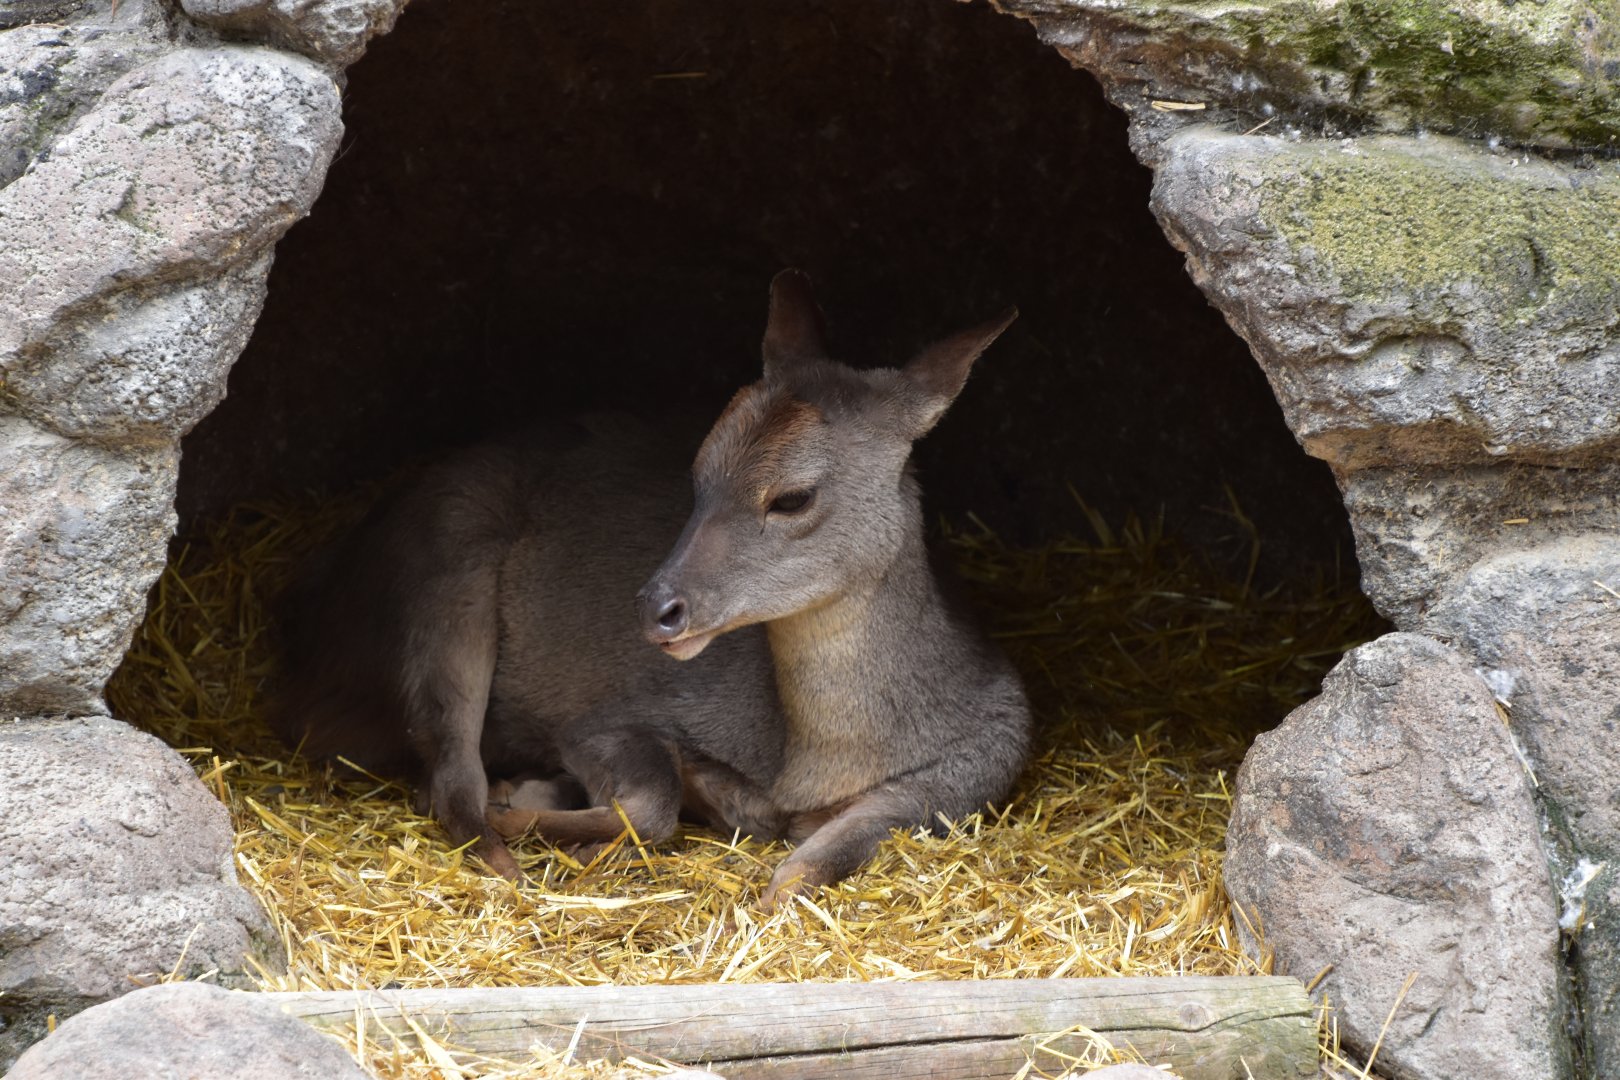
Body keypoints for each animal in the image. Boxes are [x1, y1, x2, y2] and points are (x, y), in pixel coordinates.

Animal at [271, 270, 1032, 909]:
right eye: (697, 473)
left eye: (792, 497)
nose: (657, 608)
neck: (816, 757)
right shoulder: (612, 715)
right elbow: (654, 803)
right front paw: (532, 817)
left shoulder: (988, 758)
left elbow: (823, 853)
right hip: (444, 572)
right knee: (452, 784)